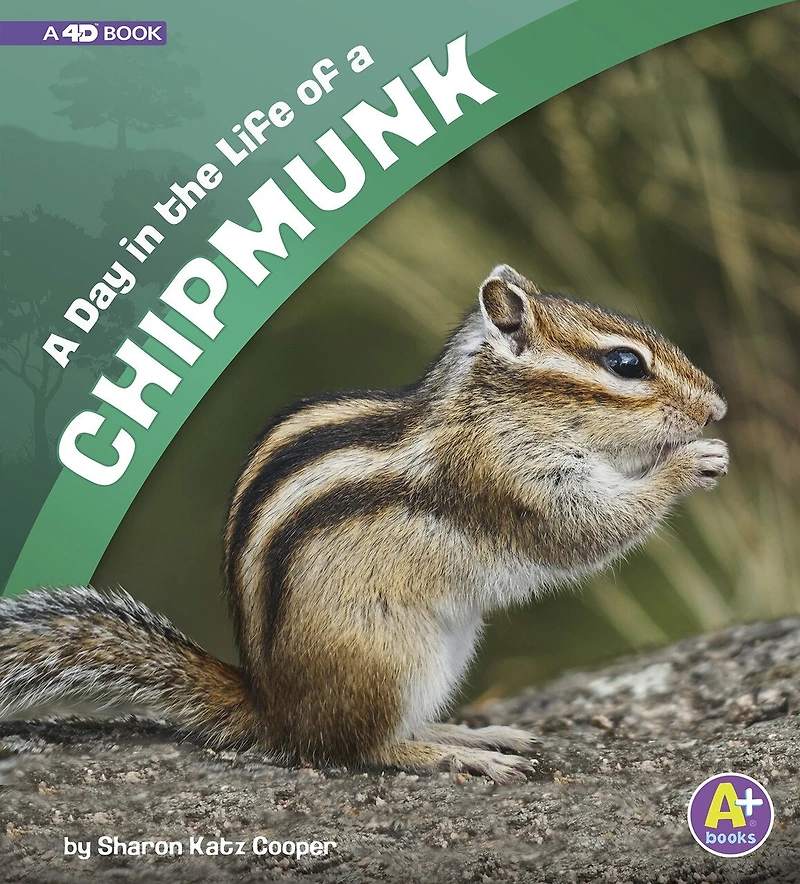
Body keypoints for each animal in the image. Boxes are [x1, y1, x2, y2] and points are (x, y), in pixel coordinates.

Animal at [0, 265, 729, 783]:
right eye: (625, 364)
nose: (717, 407)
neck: (493, 408)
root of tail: (275, 711)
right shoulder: (511, 479)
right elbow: (588, 529)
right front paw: (688, 463)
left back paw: (470, 733)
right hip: (392, 657)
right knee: (359, 748)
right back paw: (457, 756)